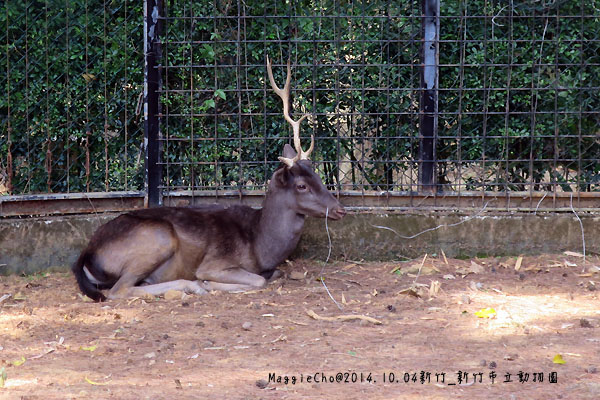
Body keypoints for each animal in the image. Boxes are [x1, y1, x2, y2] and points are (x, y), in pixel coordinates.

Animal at [72, 55, 344, 300]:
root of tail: (86, 254)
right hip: (157, 238)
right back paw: (192, 286)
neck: (260, 245)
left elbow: (277, 273)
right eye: (301, 185)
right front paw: (207, 282)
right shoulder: (215, 263)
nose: (340, 209)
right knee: (118, 291)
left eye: (318, 176)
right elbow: (257, 280)